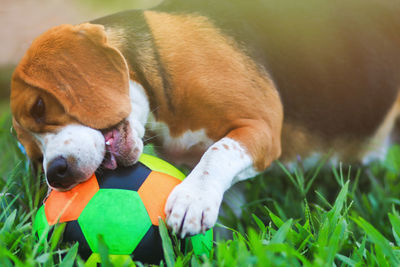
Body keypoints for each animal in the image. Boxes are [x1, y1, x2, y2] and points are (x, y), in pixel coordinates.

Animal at [8, 0, 400, 239]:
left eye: (40, 107)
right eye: (35, 157)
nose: (56, 174)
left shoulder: (262, 128)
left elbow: (216, 153)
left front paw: (192, 200)